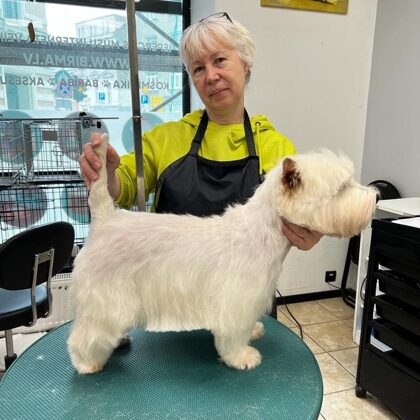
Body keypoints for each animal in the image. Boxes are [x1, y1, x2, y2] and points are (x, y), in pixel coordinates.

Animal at [68, 134, 377, 374]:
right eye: (342, 188)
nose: (375, 197)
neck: (263, 233)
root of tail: (105, 219)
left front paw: (253, 331)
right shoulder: (237, 300)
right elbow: (233, 334)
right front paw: (242, 356)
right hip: (105, 297)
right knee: (85, 335)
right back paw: (87, 362)